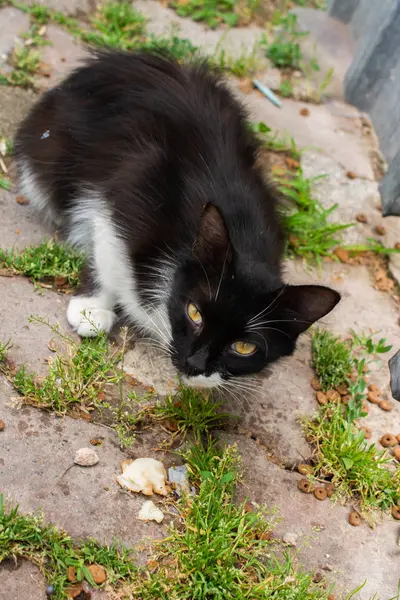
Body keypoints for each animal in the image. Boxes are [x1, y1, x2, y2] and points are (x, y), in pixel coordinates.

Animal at [13, 50, 340, 390]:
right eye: (194, 313)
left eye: (244, 347)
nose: (194, 364)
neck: (245, 235)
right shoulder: (132, 187)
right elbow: (105, 241)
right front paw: (92, 308)